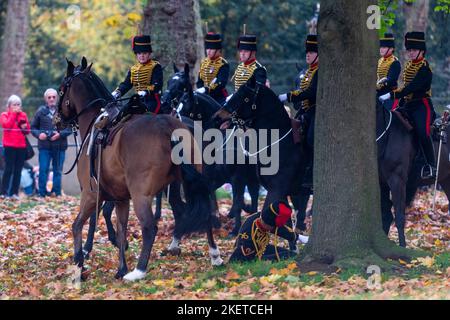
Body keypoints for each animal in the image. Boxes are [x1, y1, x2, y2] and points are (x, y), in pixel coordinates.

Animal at [54, 57, 223, 280]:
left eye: (61, 89)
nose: (56, 119)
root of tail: (169, 129)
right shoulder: (120, 198)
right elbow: (121, 227)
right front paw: (120, 266)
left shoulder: (91, 193)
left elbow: (78, 224)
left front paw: (79, 260)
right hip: (188, 185)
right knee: (202, 213)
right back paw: (214, 256)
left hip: (142, 194)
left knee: (150, 226)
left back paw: (139, 271)